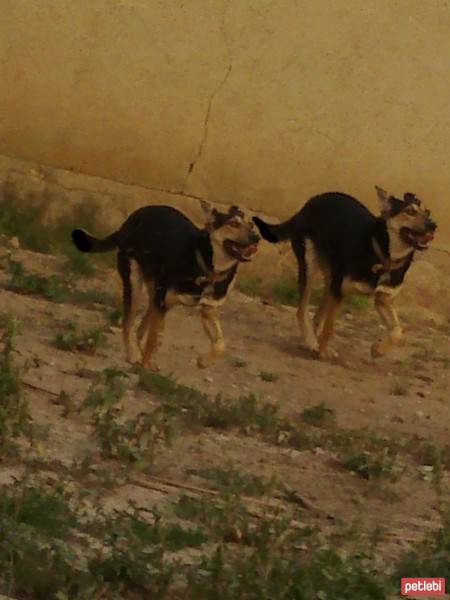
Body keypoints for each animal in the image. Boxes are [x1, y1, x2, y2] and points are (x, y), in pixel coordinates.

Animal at [71, 204, 258, 368]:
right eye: (233, 224)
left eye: (251, 225)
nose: (256, 237)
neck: (208, 267)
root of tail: (133, 217)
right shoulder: (163, 303)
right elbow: (154, 338)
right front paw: (146, 366)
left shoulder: (208, 309)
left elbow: (220, 345)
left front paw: (203, 362)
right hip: (135, 283)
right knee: (128, 322)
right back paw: (133, 354)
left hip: (155, 290)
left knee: (142, 327)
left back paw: (140, 352)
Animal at [253, 189, 436, 356]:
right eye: (410, 211)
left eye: (427, 212)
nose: (433, 225)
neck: (384, 255)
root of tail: (311, 202)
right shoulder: (340, 291)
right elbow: (330, 326)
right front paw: (323, 352)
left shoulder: (383, 299)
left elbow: (398, 331)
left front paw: (378, 349)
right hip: (310, 266)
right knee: (302, 310)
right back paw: (311, 341)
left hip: (330, 279)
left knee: (317, 315)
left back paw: (310, 340)